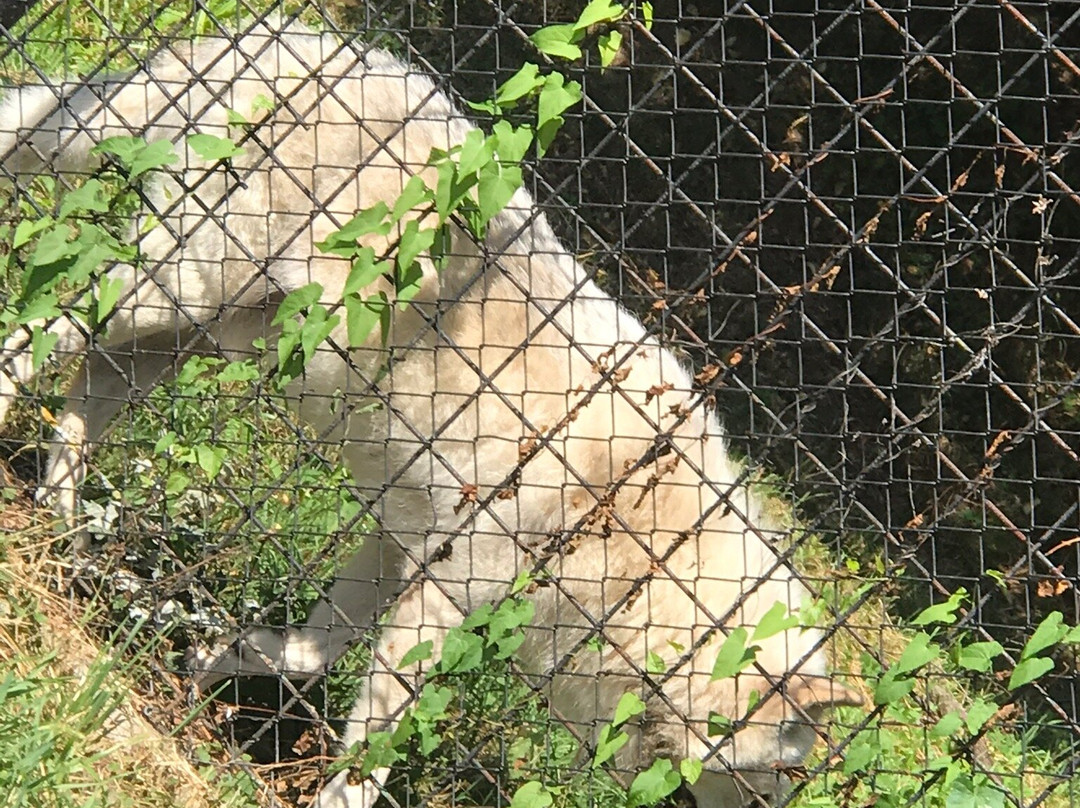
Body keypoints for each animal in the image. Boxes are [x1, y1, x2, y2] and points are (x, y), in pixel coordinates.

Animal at [0, 18, 859, 808]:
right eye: (779, 780)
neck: (640, 550)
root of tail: (303, 38)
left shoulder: (397, 544)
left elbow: (310, 651)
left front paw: (222, 658)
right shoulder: (439, 600)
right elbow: (372, 748)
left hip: (192, 338)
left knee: (84, 398)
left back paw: (62, 535)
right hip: (174, 294)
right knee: (38, 333)